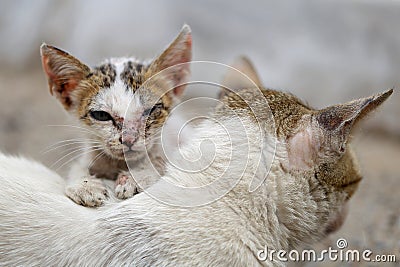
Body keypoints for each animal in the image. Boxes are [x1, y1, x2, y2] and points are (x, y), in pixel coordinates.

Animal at [40, 24, 192, 207]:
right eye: (101, 115)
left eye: (150, 111)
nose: (129, 139)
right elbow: (77, 167)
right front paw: (84, 185)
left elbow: (163, 161)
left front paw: (134, 178)